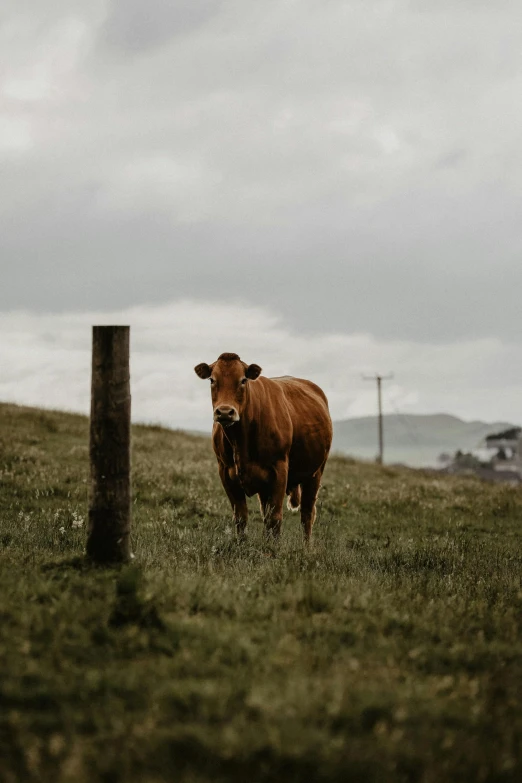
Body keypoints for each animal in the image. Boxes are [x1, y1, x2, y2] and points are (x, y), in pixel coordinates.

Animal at [193, 354, 332, 544]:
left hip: (315, 472)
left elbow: (275, 518)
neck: (240, 441)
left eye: (243, 380)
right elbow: (241, 517)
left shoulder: (279, 470)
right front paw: (242, 545)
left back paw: (306, 546)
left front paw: (273, 548)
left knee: (307, 514)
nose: (225, 412)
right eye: (212, 380)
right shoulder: (226, 472)